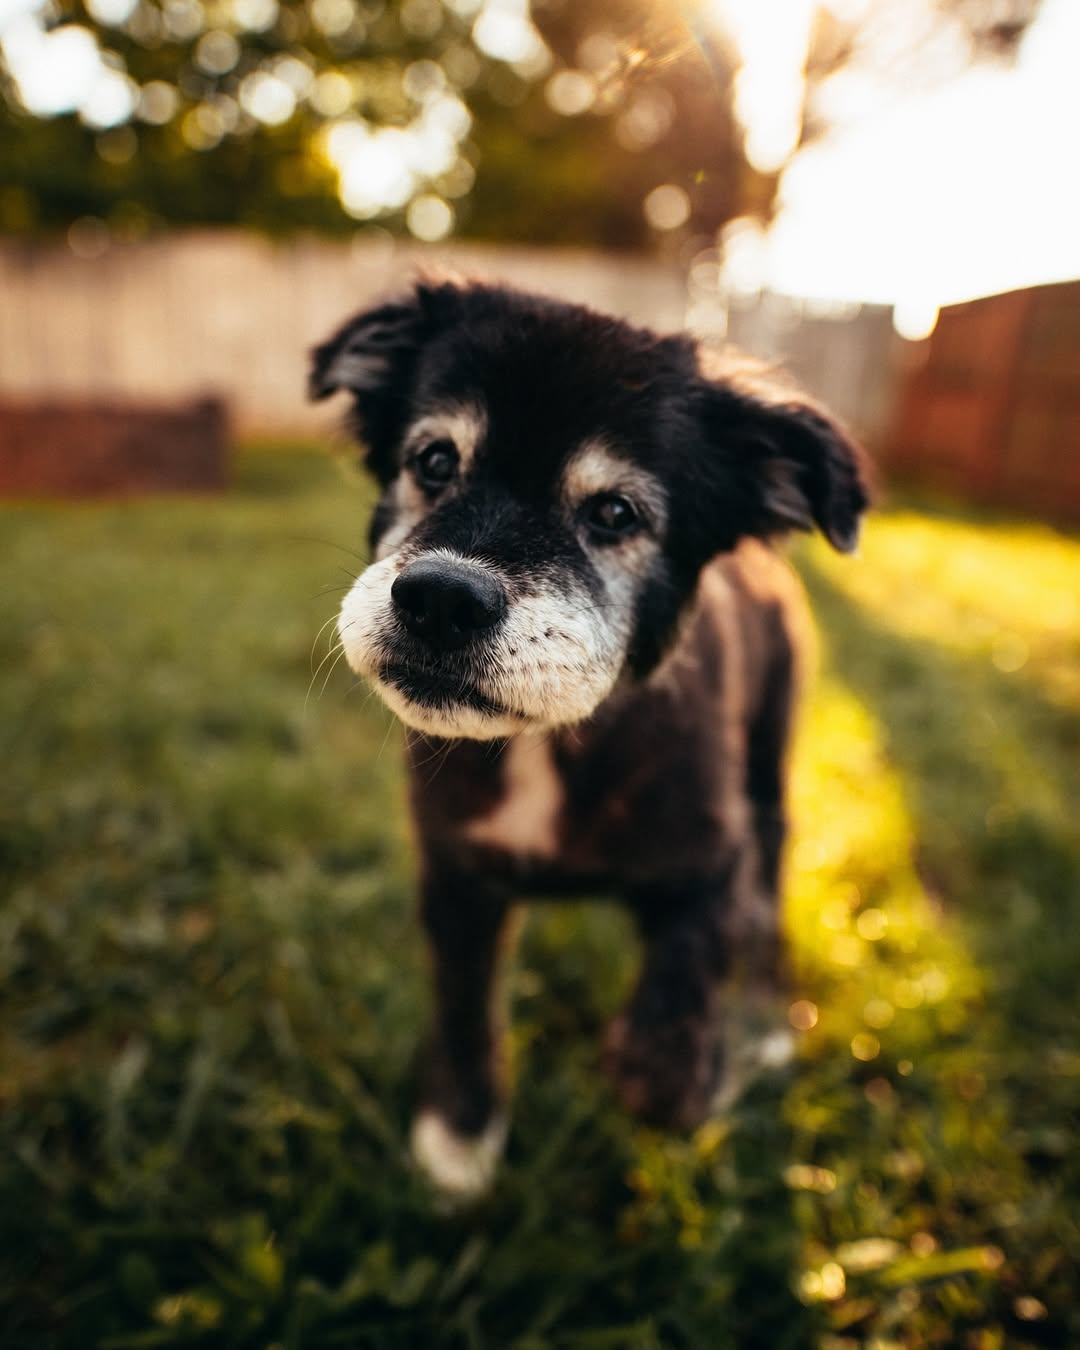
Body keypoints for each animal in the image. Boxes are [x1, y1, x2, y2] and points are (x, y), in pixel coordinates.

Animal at [311, 279, 869, 1198]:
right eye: (434, 461)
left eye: (614, 512)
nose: (440, 599)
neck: (551, 745)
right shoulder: (456, 875)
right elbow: (465, 1007)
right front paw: (458, 1140)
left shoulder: (714, 855)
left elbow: (689, 976)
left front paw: (680, 1070)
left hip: (771, 774)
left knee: (771, 888)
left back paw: (765, 1017)